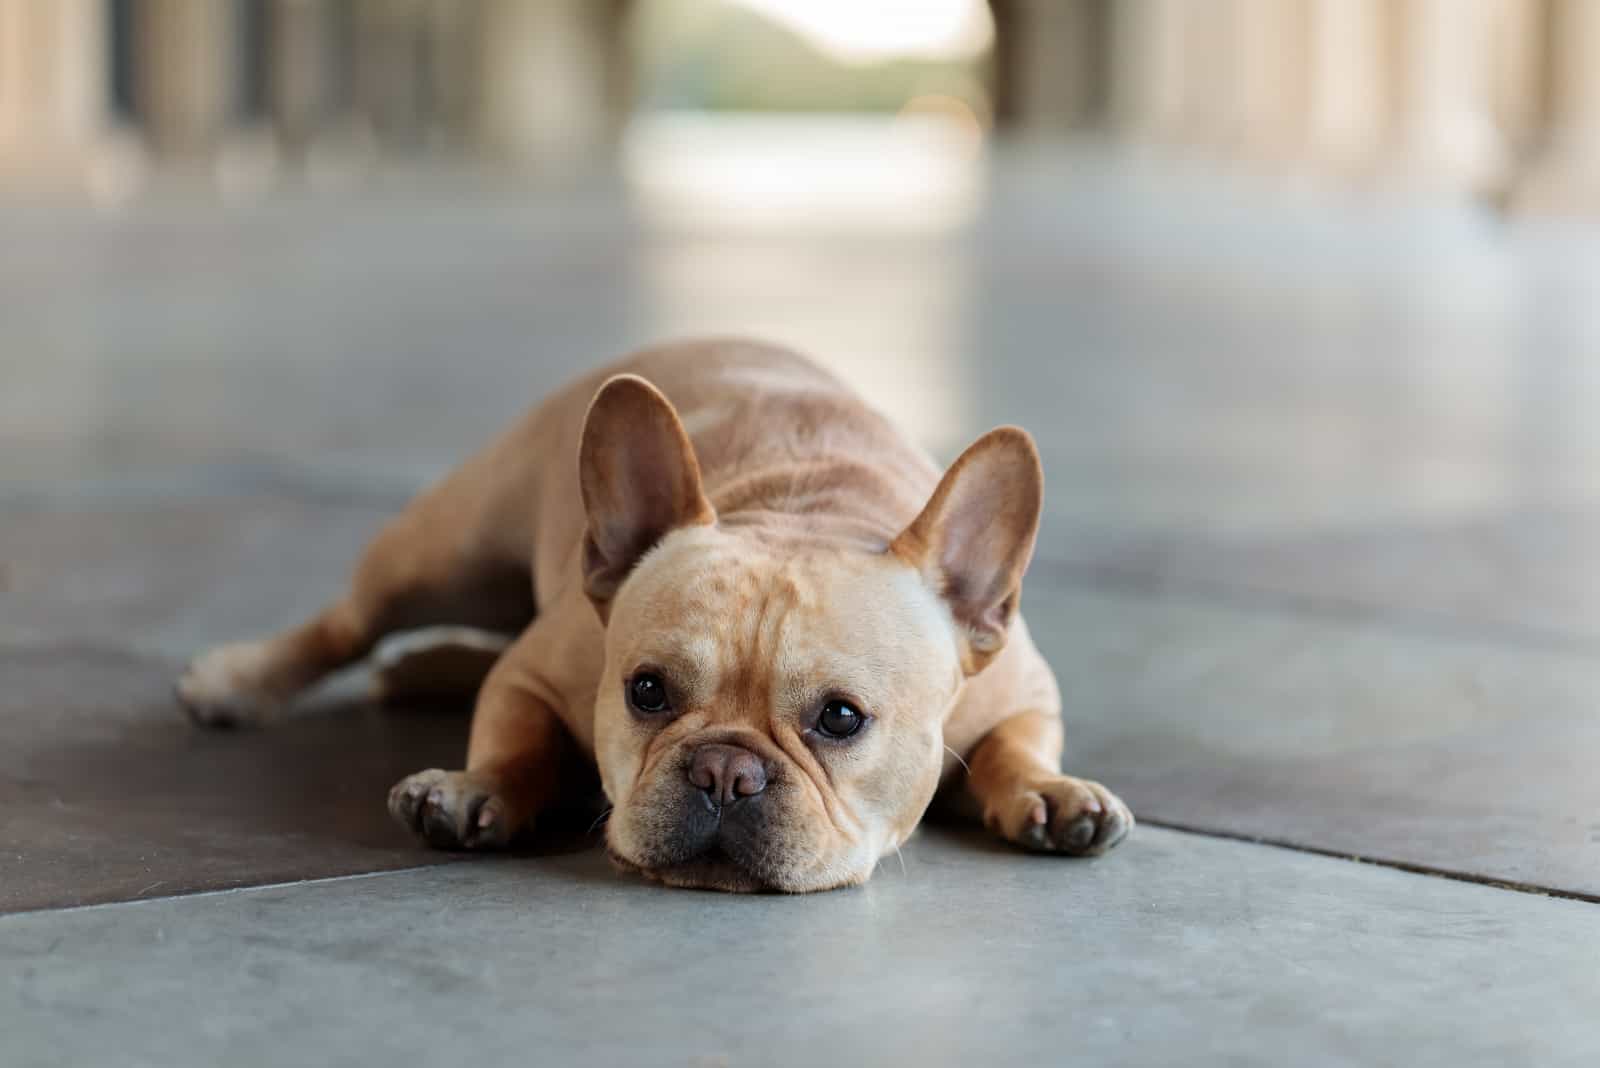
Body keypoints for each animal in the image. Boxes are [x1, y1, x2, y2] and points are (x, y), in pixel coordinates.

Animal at [181, 337, 1132, 888]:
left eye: (841, 719)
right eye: (646, 692)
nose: (724, 770)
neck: (805, 508)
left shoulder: (1023, 691)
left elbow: (1016, 745)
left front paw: (1049, 792)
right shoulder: (535, 671)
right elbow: (517, 737)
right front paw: (480, 785)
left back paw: (420, 669)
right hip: (441, 549)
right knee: (350, 623)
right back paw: (241, 678)